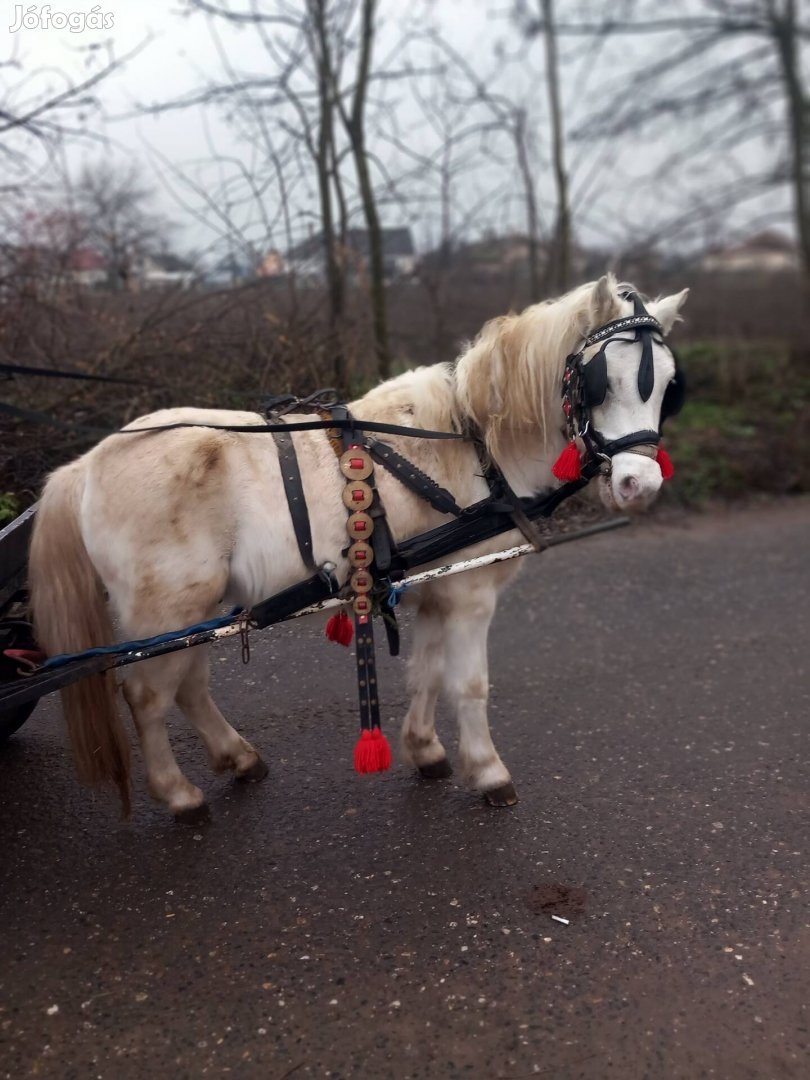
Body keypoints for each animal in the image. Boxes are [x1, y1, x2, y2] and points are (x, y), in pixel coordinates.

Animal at [33, 276, 691, 816]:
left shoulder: (435, 589)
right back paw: (178, 793)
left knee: (187, 683)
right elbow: (469, 683)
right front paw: (488, 771)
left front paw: (425, 750)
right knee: (147, 694)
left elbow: (427, 673)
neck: (472, 442)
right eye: (602, 381)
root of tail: (86, 466)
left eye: (667, 387)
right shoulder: (472, 593)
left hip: (193, 608)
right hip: (165, 607)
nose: (640, 484)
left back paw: (238, 758)